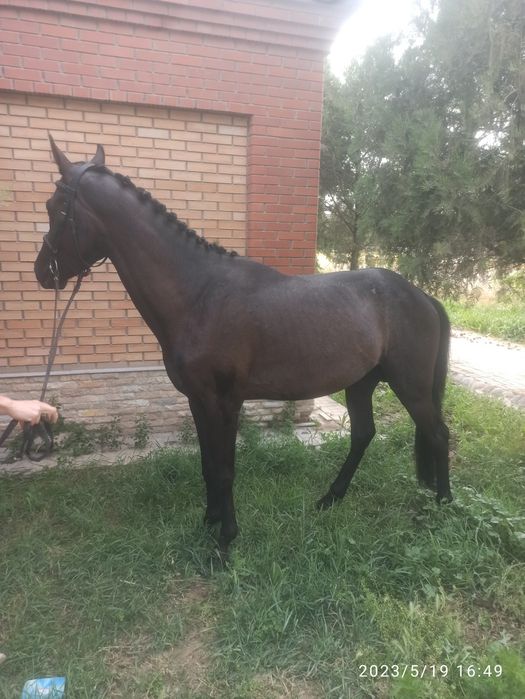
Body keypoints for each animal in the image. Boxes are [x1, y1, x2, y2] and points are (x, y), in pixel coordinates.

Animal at [34, 137, 452, 554]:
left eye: (55, 208)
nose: (41, 272)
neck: (200, 295)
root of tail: (421, 297)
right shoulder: (197, 400)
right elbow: (207, 465)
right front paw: (208, 522)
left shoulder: (224, 401)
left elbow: (224, 468)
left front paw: (224, 541)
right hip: (361, 382)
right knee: (363, 434)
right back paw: (329, 499)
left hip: (411, 386)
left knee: (437, 433)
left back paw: (443, 505)